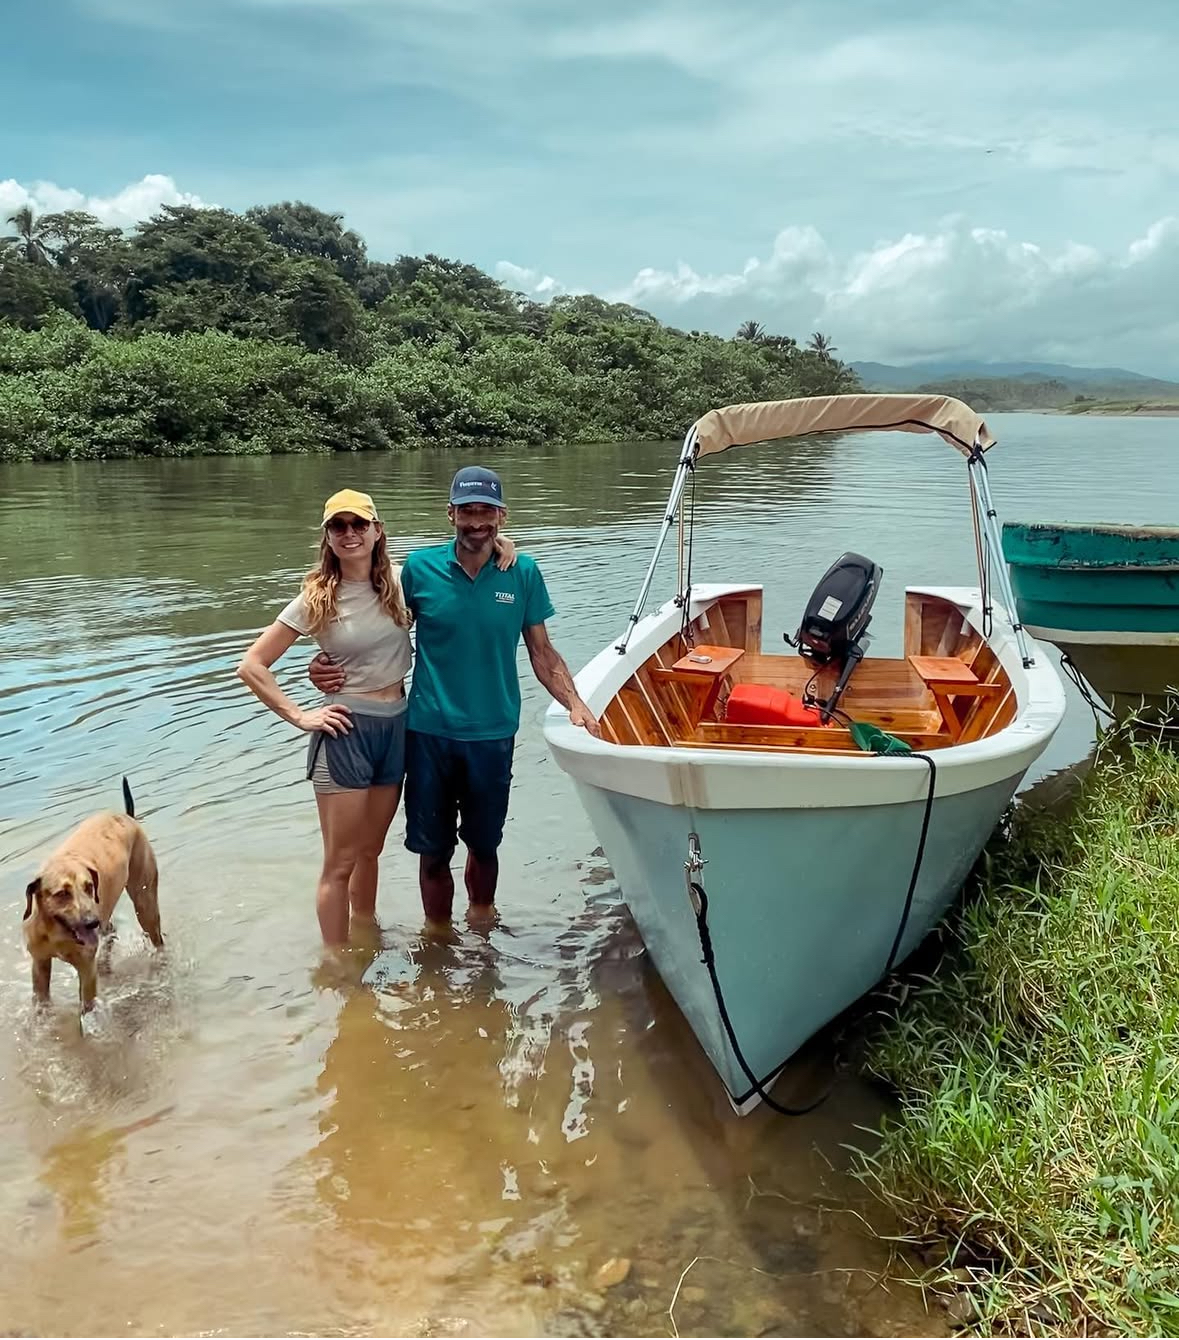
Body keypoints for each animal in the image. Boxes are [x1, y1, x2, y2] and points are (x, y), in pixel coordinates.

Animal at [23, 776, 163, 1016]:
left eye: (89, 887)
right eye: (62, 893)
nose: (91, 922)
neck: (57, 930)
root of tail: (127, 816)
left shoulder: (87, 970)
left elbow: (86, 1010)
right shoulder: (39, 964)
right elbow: (41, 1004)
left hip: (145, 904)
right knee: (110, 930)